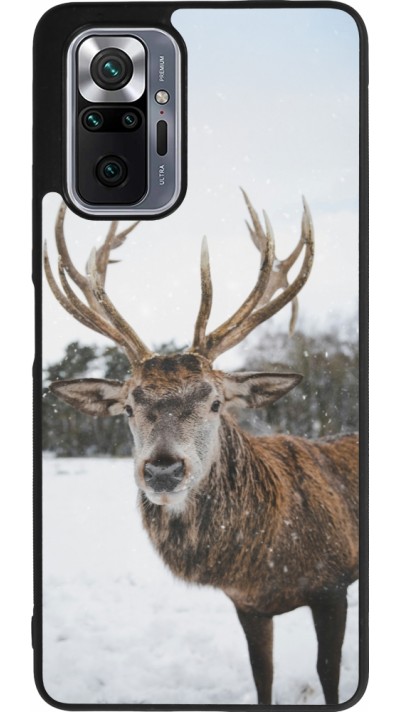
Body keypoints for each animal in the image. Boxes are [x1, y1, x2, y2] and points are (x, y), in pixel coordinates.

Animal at [44, 193, 359, 705]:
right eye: (128, 406)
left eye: (214, 401)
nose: (163, 471)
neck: (265, 560)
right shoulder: (248, 605)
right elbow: (262, 676)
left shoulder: (333, 584)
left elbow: (328, 674)